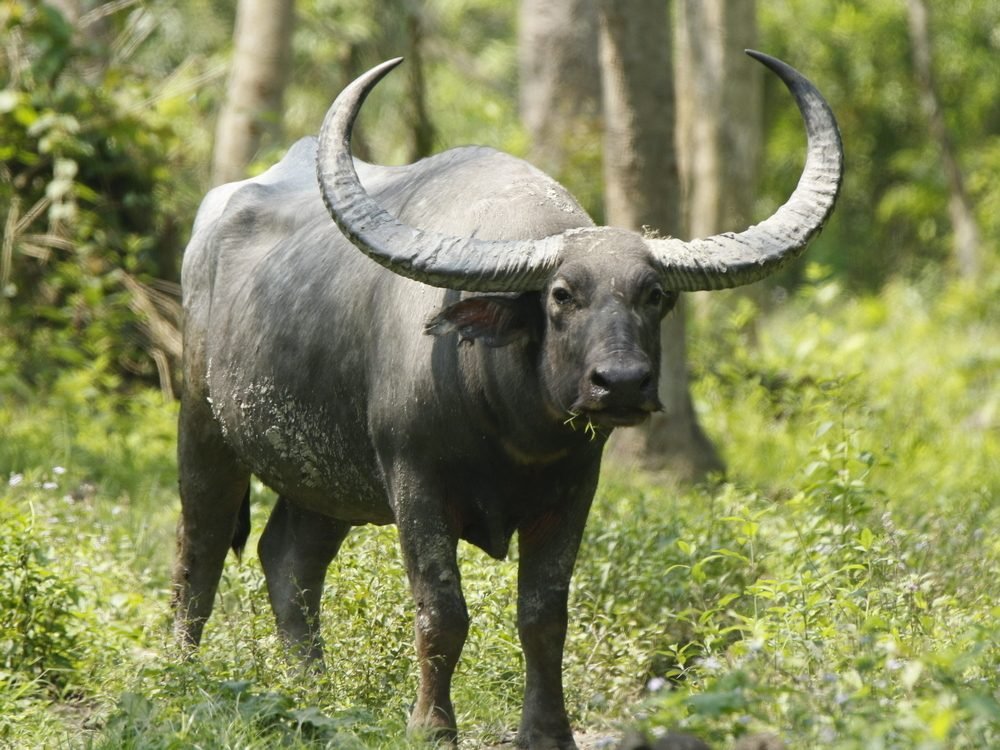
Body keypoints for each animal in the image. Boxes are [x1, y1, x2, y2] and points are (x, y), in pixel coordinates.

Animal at [173, 51, 842, 749]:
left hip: (325, 479)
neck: (508, 425)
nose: (622, 383)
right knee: (201, 546)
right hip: (204, 427)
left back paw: (315, 692)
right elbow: (442, 610)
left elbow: (544, 614)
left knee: (289, 561)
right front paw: (432, 726)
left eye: (653, 293)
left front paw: (548, 730)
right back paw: (181, 674)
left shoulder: (573, 491)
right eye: (562, 294)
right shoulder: (415, 483)